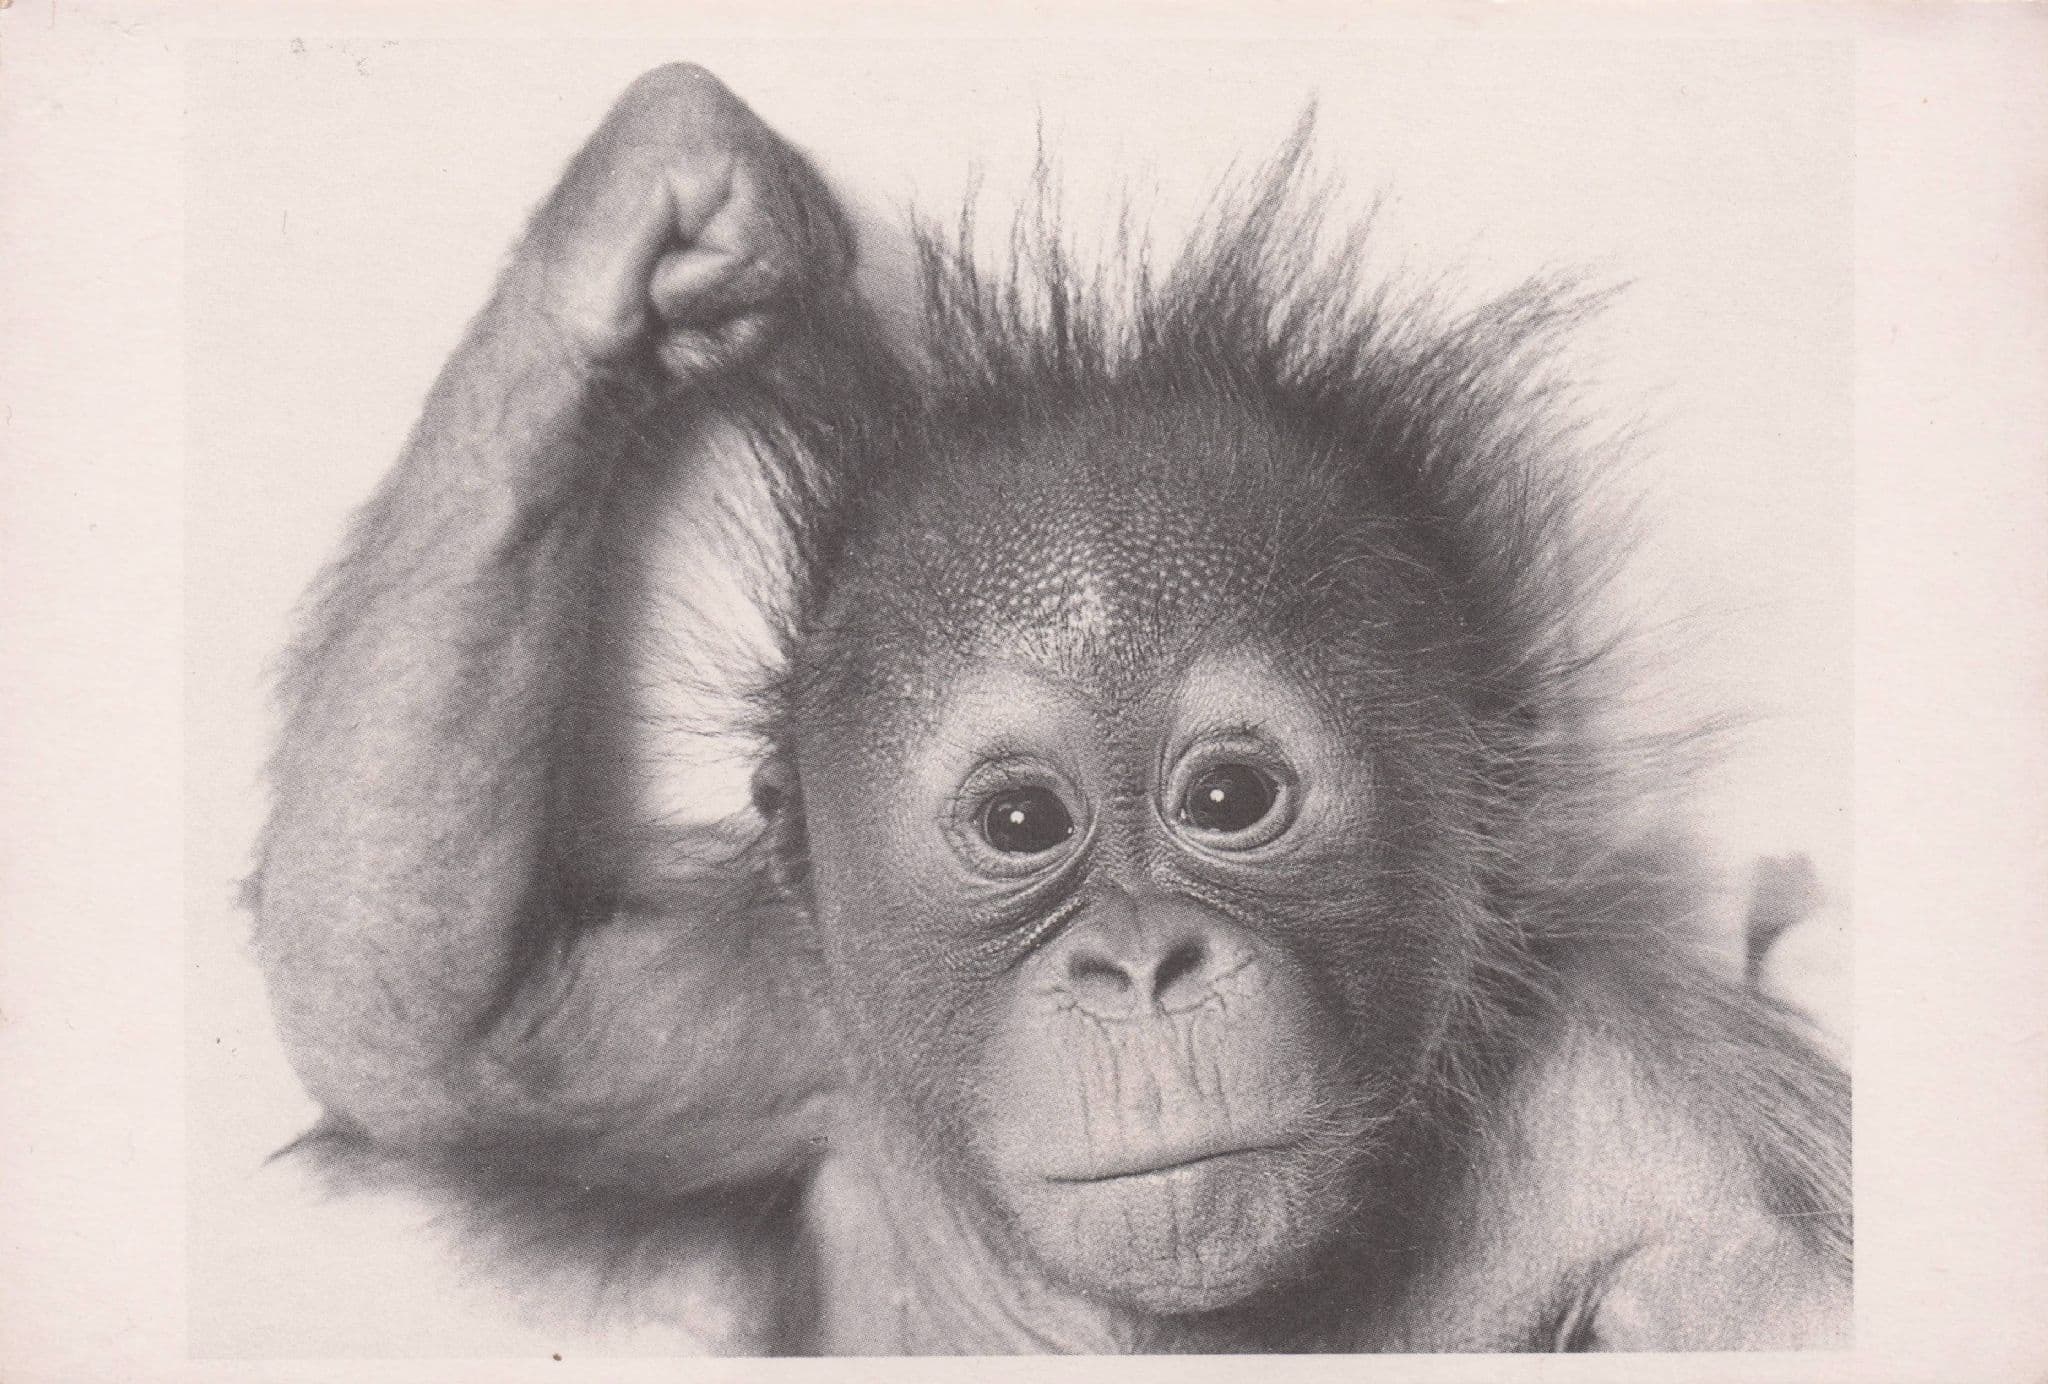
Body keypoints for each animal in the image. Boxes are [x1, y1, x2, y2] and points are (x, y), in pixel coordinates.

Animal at [249, 64, 1849, 1354]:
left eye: (1228, 801)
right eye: (1021, 820)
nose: (1138, 965)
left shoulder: (1711, 1182)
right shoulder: (795, 1011)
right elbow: (458, 1039)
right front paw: (663, 218)